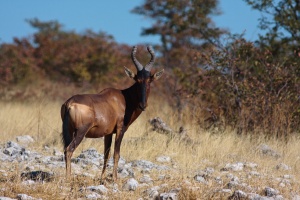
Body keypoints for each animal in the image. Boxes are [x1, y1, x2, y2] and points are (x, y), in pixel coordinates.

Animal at [61, 45, 164, 183]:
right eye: (137, 80)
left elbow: (106, 154)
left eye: (149, 80)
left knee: (65, 149)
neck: (124, 98)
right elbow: (116, 153)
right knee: (69, 150)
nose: (143, 105)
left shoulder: (108, 133)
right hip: (80, 132)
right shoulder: (120, 129)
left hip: (68, 131)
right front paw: (115, 178)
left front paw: (102, 177)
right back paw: (68, 178)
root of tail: (69, 103)